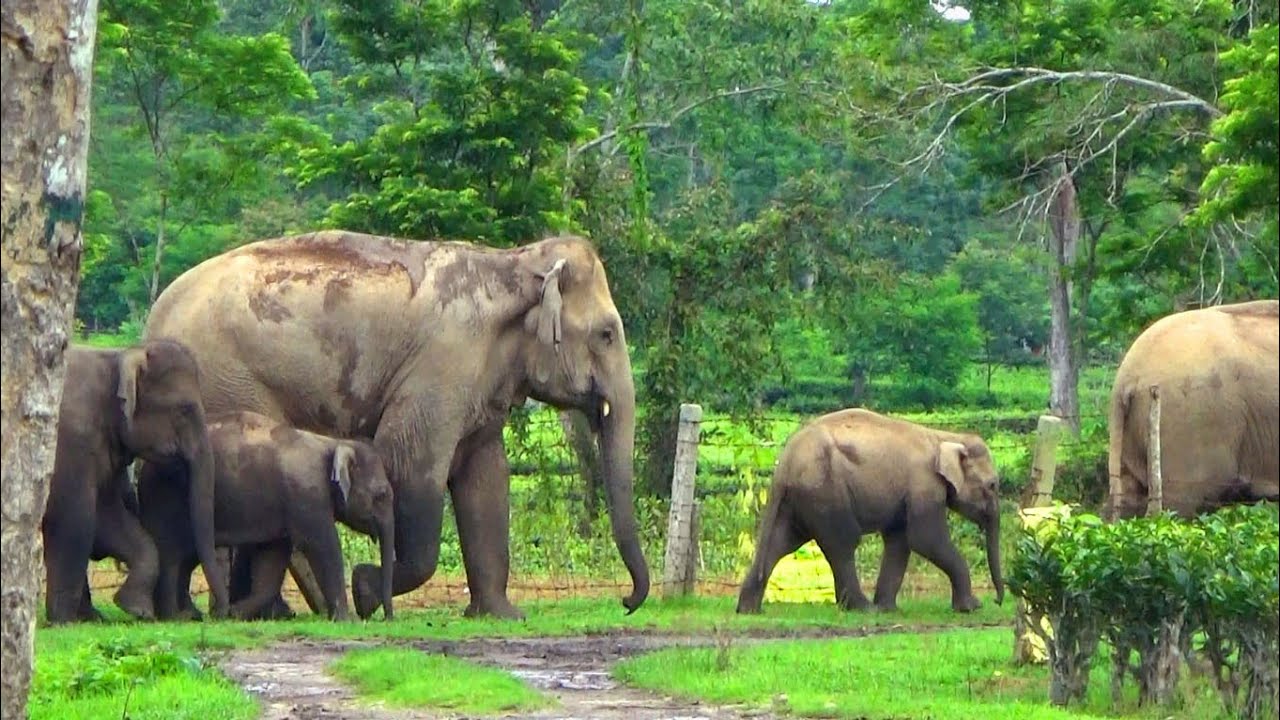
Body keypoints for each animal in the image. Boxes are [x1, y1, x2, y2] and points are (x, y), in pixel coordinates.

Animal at [42, 340, 227, 623]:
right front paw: (64, 621)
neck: (120, 356)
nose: (221, 615)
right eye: (184, 409)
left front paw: (135, 609)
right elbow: (74, 519)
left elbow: (108, 519)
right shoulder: (71, 442)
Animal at [137, 411, 397, 621]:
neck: (333, 443)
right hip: (166, 497)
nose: (387, 619)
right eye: (382, 495)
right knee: (172, 554)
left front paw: (236, 613)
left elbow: (272, 558)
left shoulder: (282, 509)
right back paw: (175, 616)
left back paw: (191, 614)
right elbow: (324, 546)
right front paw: (346, 620)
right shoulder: (307, 495)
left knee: (186, 557)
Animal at [736, 408, 1005, 615]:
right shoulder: (924, 486)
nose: (997, 601)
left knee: (781, 543)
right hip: (826, 492)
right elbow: (925, 539)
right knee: (842, 544)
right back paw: (863, 608)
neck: (944, 437)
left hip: (799, 501)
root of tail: (784, 464)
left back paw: (749, 610)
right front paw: (971, 608)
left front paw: (889, 609)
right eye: (992, 485)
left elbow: (900, 542)